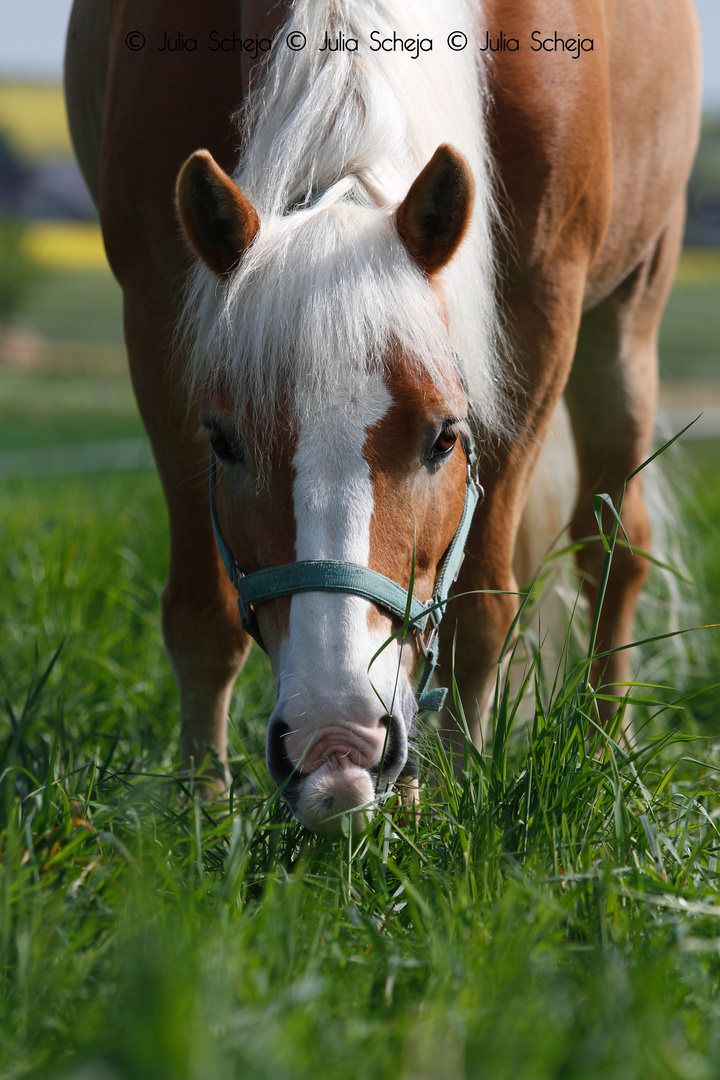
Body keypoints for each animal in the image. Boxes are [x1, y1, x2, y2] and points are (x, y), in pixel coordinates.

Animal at [66, 0, 699, 833]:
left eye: (444, 438)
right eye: (224, 442)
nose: (335, 743)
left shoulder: (541, 307)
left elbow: (480, 608)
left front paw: (457, 803)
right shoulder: (159, 305)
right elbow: (203, 611)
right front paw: (202, 810)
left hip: (626, 315)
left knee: (613, 548)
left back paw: (606, 748)